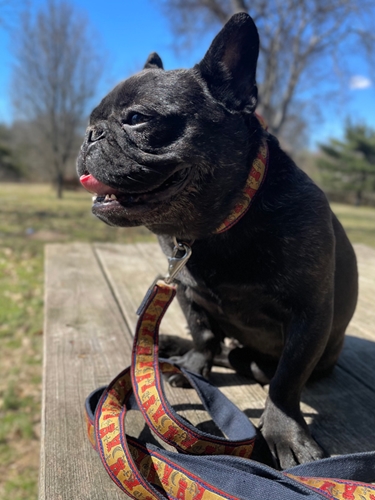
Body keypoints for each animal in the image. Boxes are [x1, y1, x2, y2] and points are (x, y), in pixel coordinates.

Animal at [76, 13, 358, 470]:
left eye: (136, 118)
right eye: (92, 119)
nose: (89, 134)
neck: (219, 228)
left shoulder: (310, 314)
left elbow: (286, 381)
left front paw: (284, 432)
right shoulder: (187, 291)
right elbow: (204, 333)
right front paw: (194, 363)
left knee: (254, 363)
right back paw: (174, 350)